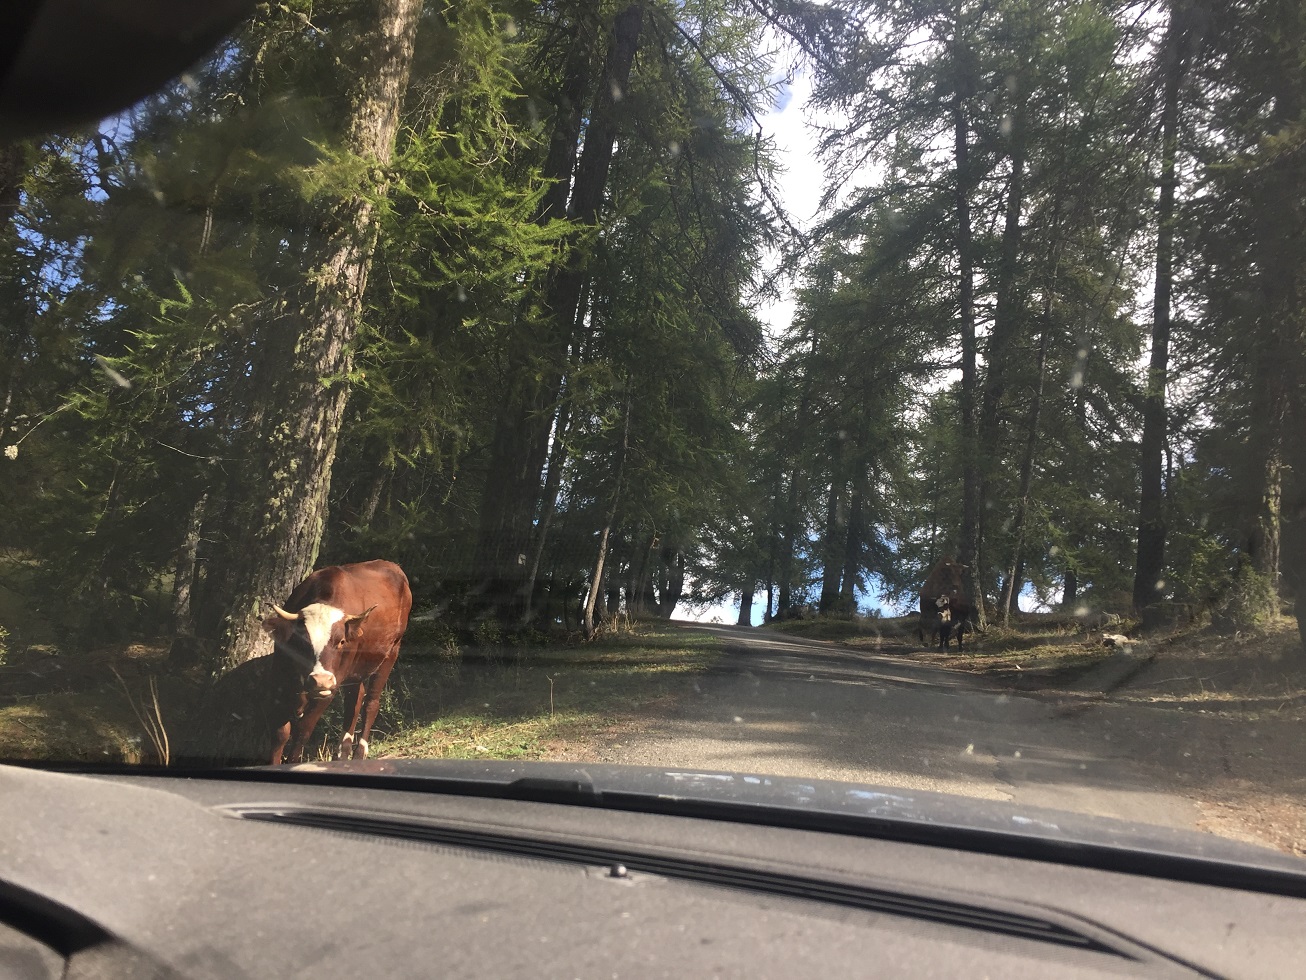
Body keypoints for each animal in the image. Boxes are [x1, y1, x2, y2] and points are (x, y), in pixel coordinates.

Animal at [258, 559, 410, 768]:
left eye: (341, 641)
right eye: (301, 641)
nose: (321, 680)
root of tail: (392, 566)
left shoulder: (330, 687)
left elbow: (303, 730)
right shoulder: (280, 680)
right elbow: (281, 732)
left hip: (392, 651)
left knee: (371, 703)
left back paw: (359, 753)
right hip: (355, 669)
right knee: (354, 702)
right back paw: (343, 754)